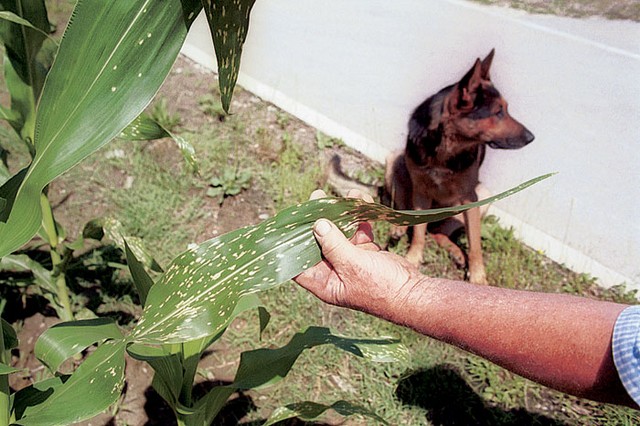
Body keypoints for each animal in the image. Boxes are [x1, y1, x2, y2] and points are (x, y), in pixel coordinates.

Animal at [384, 49, 536, 282]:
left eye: (506, 110)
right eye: (498, 112)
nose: (531, 138)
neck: (446, 148)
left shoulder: (469, 198)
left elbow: (475, 245)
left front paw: (478, 277)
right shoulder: (421, 192)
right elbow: (418, 233)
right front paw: (412, 259)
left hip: (481, 197)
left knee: (439, 232)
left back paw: (456, 252)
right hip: (395, 164)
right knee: (406, 216)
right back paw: (397, 229)